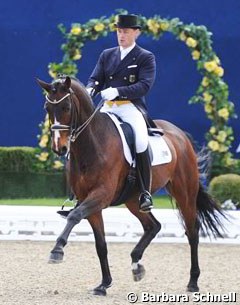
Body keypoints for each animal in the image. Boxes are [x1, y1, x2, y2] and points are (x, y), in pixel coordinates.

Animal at [36, 75, 224, 294]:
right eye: (47, 108)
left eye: (66, 107)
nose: (59, 148)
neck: (92, 144)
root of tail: (180, 135)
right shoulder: (89, 201)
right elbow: (101, 245)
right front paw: (104, 284)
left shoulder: (101, 195)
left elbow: (74, 216)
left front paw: (57, 250)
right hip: (134, 200)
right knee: (153, 226)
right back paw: (136, 265)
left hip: (184, 192)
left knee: (192, 230)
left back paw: (193, 282)